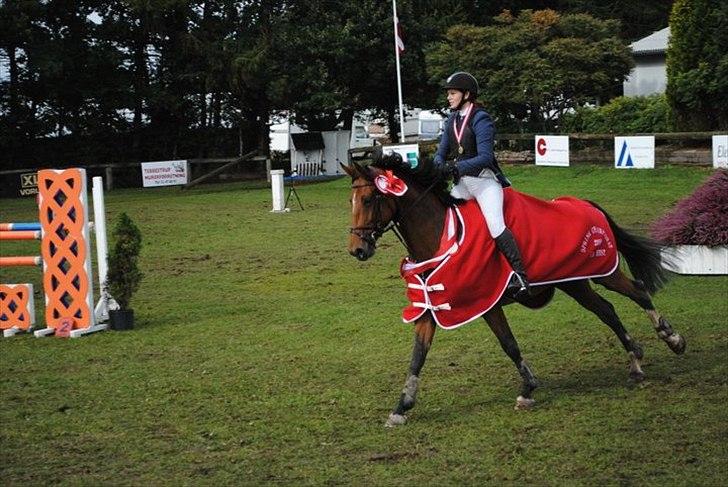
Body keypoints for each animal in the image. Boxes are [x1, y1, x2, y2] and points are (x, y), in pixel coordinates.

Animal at [344, 159, 684, 428]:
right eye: (351, 200)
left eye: (370, 198)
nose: (357, 250)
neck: (441, 235)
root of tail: (582, 202)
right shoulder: (432, 305)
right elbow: (417, 356)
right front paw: (401, 408)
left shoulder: (487, 302)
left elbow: (508, 343)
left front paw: (528, 388)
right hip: (574, 282)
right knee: (607, 310)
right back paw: (635, 361)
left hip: (603, 272)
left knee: (638, 292)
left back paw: (671, 338)